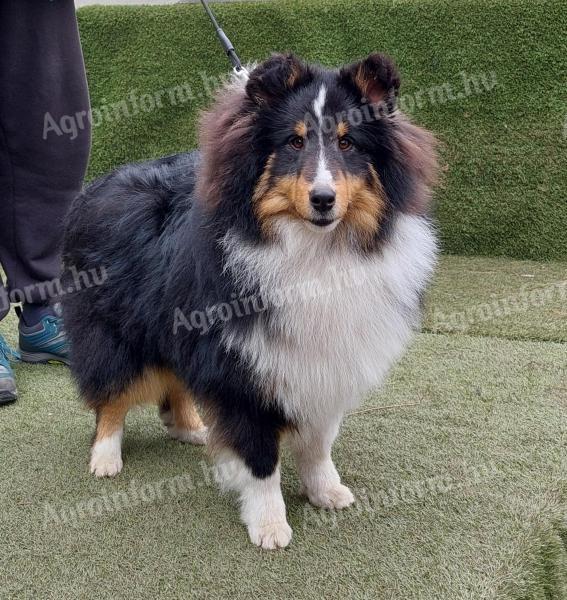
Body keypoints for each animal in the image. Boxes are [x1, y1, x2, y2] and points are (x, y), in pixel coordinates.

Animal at [62, 54, 438, 552]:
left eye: (348, 142)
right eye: (294, 141)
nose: (323, 200)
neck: (315, 250)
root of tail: (96, 187)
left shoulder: (323, 364)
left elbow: (319, 443)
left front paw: (326, 492)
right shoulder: (243, 365)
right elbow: (260, 457)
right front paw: (270, 526)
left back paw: (191, 429)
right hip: (115, 330)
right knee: (111, 394)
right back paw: (105, 457)